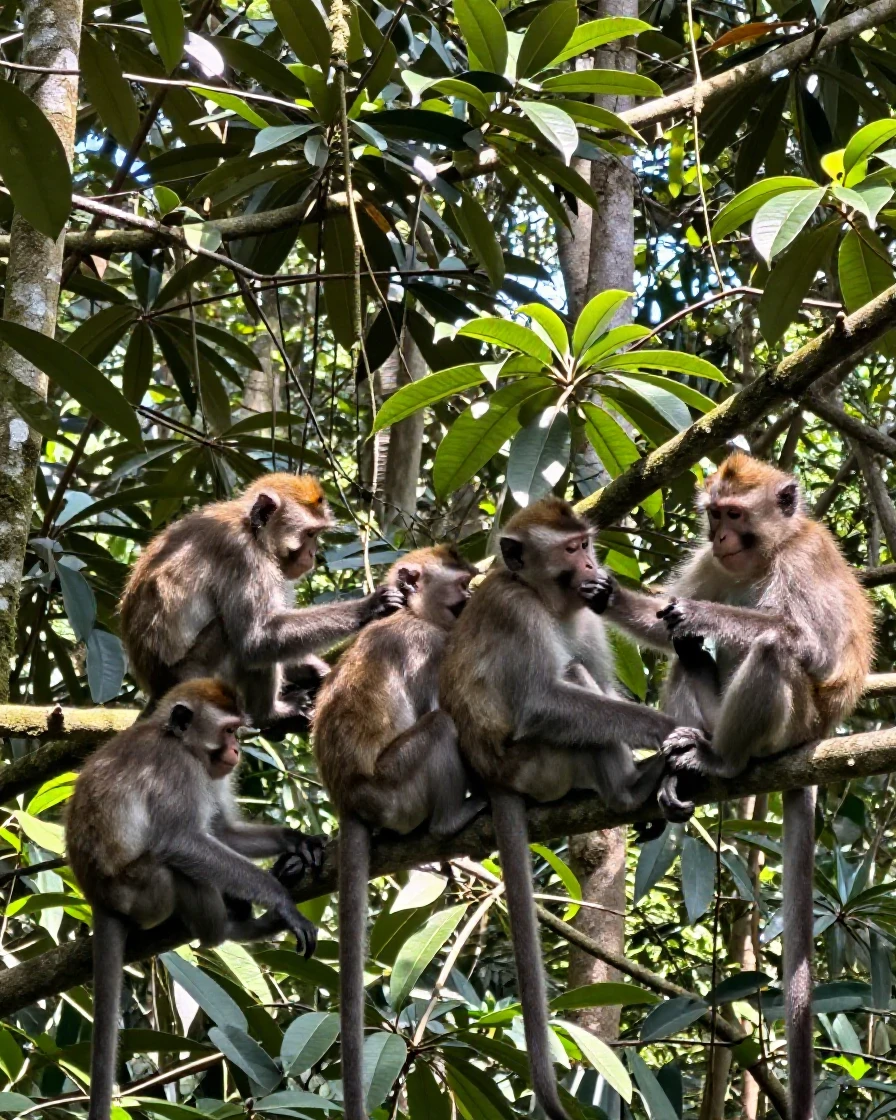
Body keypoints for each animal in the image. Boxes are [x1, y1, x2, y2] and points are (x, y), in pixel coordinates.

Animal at [66, 679, 322, 1120]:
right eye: (228, 731)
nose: (237, 750)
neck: (179, 743)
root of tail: (98, 897)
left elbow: (220, 831)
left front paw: (296, 840)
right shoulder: (176, 771)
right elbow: (182, 841)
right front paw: (280, 901)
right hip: (141, 892)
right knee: (177, 864)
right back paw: (230, 929)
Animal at [119, 473, 406, 733]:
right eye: (310, 533)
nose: (312, 554)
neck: (252, 530)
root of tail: (158, 687)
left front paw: (314, 669)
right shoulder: (242, 556)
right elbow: (257, 639)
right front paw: (370, 607)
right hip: (199, 675)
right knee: (238, 639)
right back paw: (268, 715)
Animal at [312, 545, 486, 1120]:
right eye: (461, 584)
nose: (472, 599)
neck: (411, 615)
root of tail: (349, 798)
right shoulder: (429, 647)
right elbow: (449, 710)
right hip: (397, 788)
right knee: (441, 728)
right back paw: (453, 819)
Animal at [439, 497, 686, 1120]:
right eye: (572, 549)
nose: (593, 564)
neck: (544, 595)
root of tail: (493, 779)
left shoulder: (586, 616)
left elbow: (597, 672)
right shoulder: (515, 613)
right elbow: (542, 702)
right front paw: (666, 729)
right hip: (534, 765)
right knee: (567, 688)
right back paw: (630, 788)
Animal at [600, 452, 874, 1120]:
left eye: (734, 516)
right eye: (714, 517)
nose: (720, 537)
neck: (766, 551)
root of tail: (820, 738)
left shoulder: (803, 561)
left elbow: (809, 646)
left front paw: (702, 616)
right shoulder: (711, 564)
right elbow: (661, 627)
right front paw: (602, 590)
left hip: (795, 724)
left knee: (774, 645)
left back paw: (721, 760)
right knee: (684, 658)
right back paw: (678, 767)